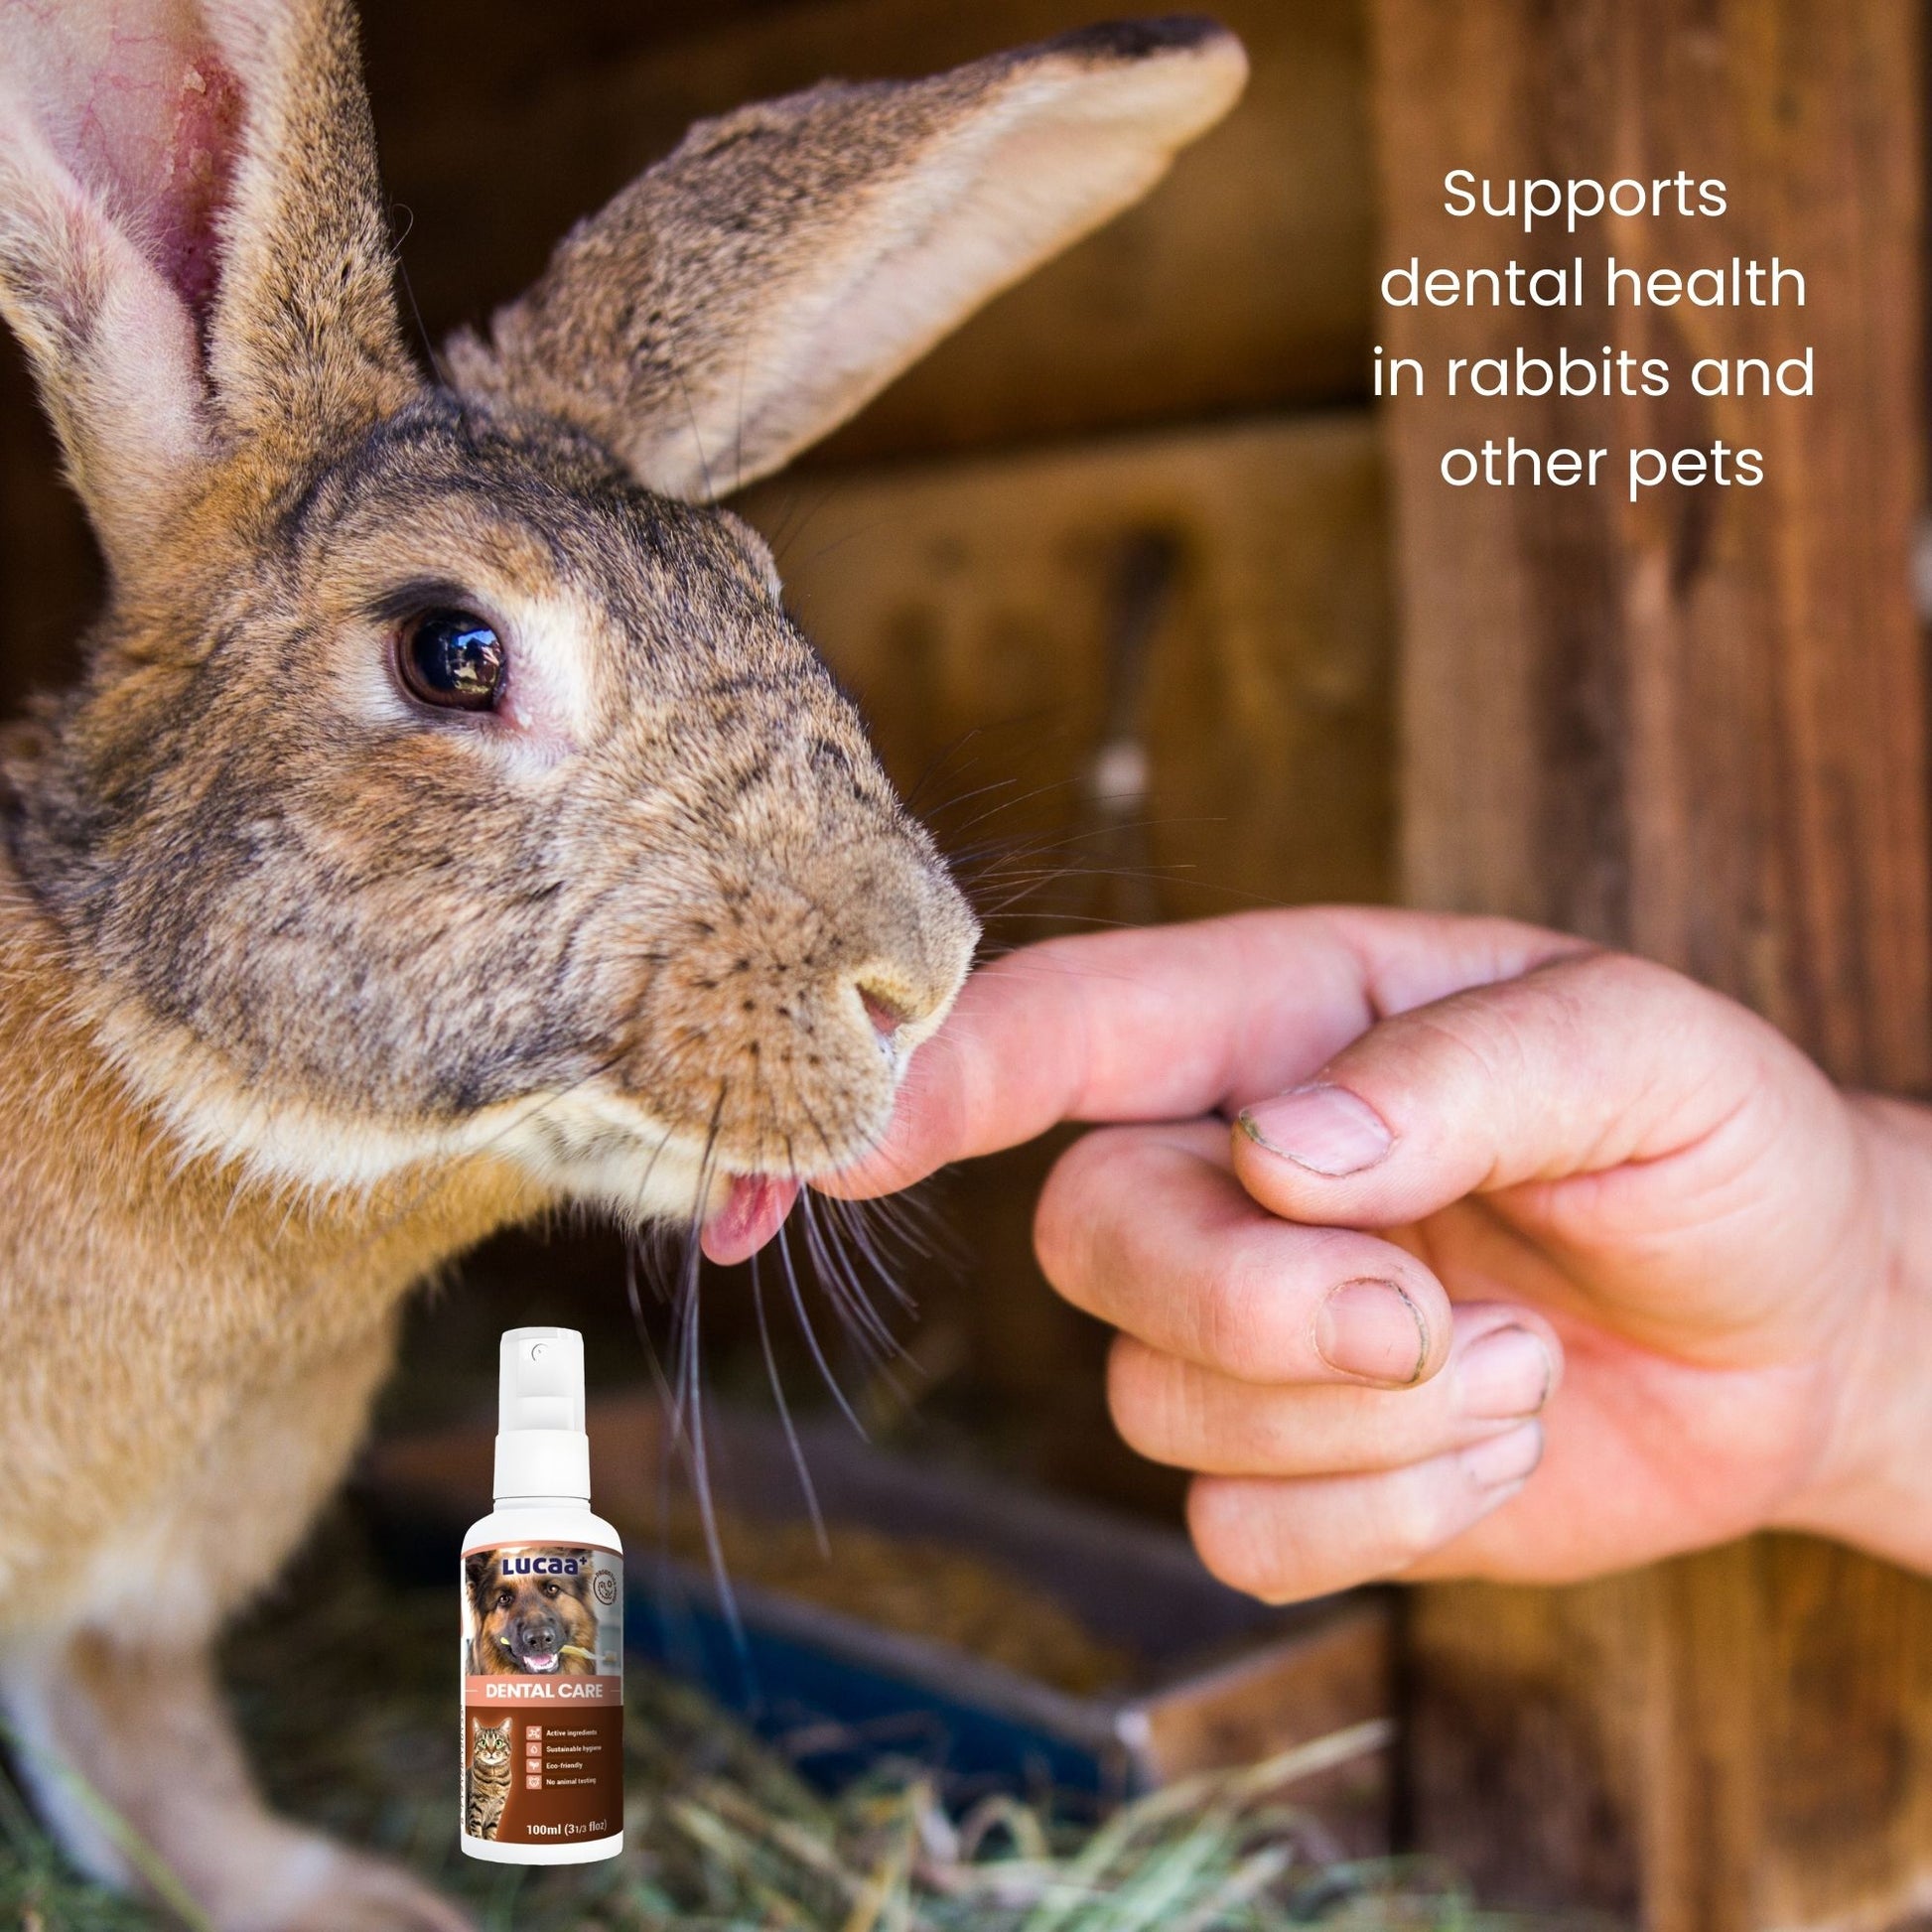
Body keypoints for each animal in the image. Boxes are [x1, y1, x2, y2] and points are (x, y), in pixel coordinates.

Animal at [0, 1, 1246, 1926]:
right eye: (450, 650)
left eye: (762, 592)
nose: (915, 979)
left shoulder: (128, 1610)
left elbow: (151, 1746)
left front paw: (352, 1901)